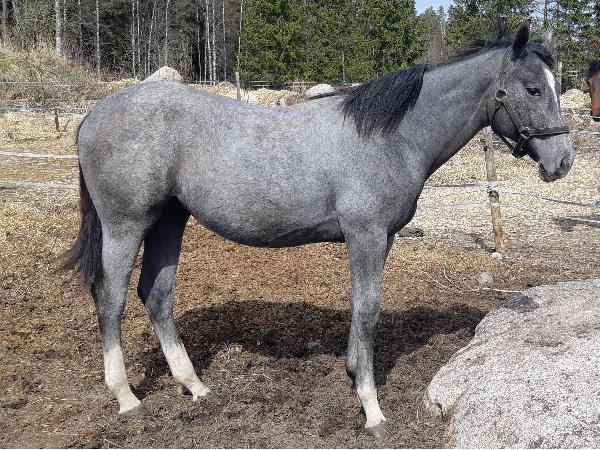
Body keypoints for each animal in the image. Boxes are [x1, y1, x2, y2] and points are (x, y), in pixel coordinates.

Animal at [63, 21, 572, 438]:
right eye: (532, 89)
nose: (562, 162)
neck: (391, 136)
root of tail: (94, 114)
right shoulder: (366, 236)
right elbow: (367, 311)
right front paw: (372, 409)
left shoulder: (379, 238)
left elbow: (361, 309)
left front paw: (353, 375)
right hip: (126, 224)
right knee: (111, 299)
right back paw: (126, 397)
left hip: (169, 220)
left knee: (156, 294)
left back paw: (195, 386)